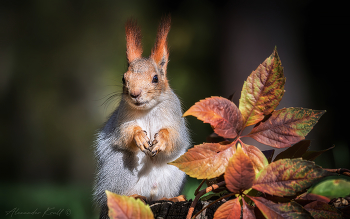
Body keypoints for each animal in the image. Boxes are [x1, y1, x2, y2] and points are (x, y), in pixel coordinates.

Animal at [93, 16, 190, 218]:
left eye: (155, 78)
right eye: (124, 78)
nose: (135, 94)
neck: (148, 109)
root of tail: (149, 193)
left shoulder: (176, 119)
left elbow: (176, 138)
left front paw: (162, 139)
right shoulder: (120, 120)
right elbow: (123, 134)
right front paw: (138, 136)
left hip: (176, 170)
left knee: (161, 194)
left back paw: (172, 197)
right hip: (118, 170)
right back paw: (133, 196)